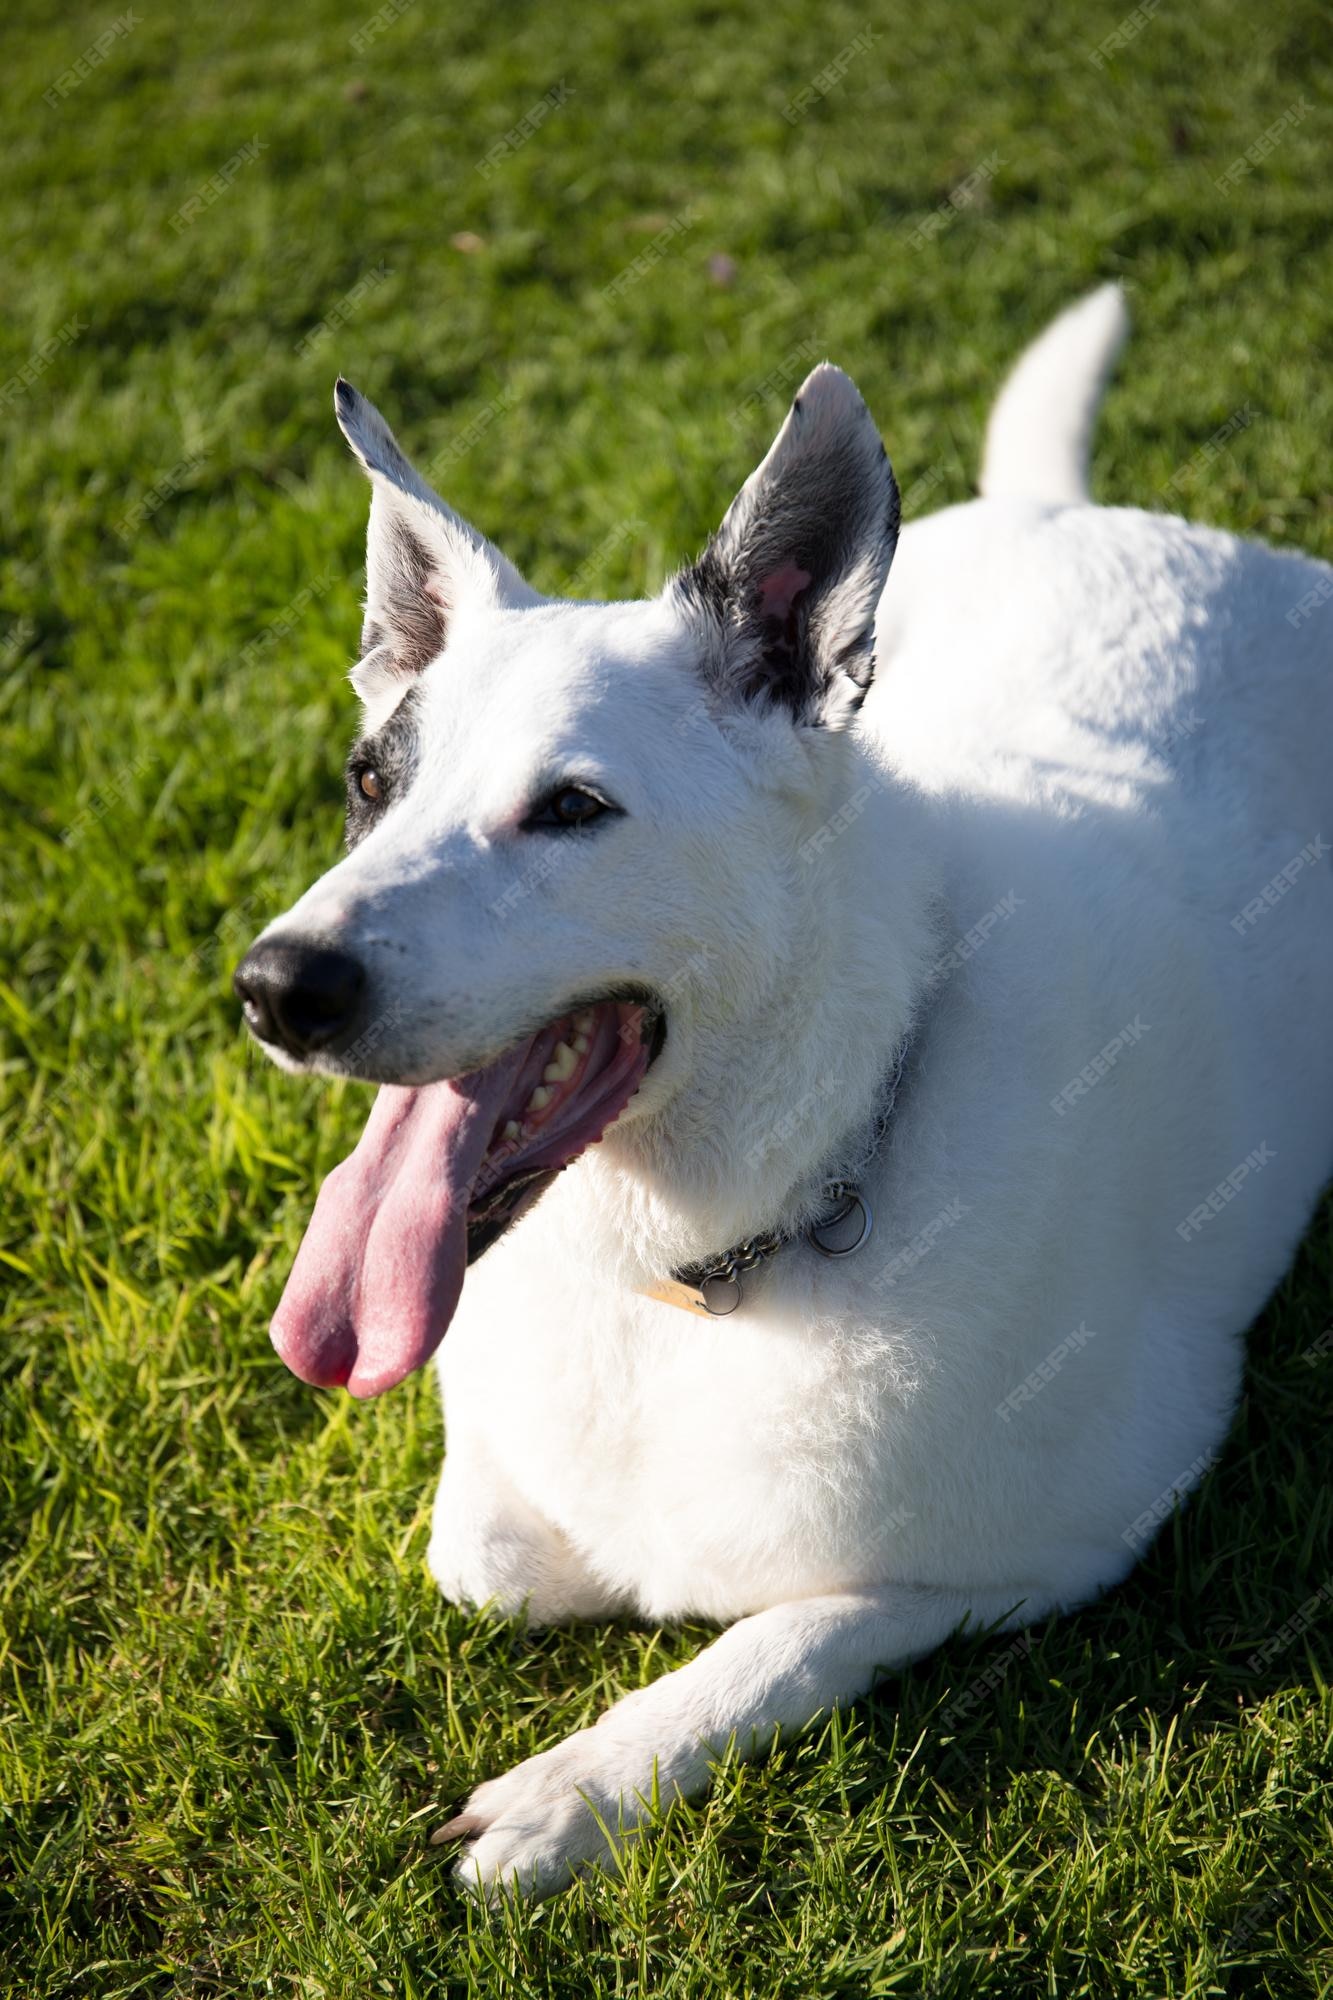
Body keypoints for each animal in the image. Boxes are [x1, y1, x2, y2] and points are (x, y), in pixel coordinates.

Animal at [233, 282, 1320, 1888]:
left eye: (573, 810)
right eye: (373, 783)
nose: (279, 986)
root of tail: (1082, 510)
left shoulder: (1073, 1526)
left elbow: (779, 1634)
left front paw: (572, 1785)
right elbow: (493, 1557)